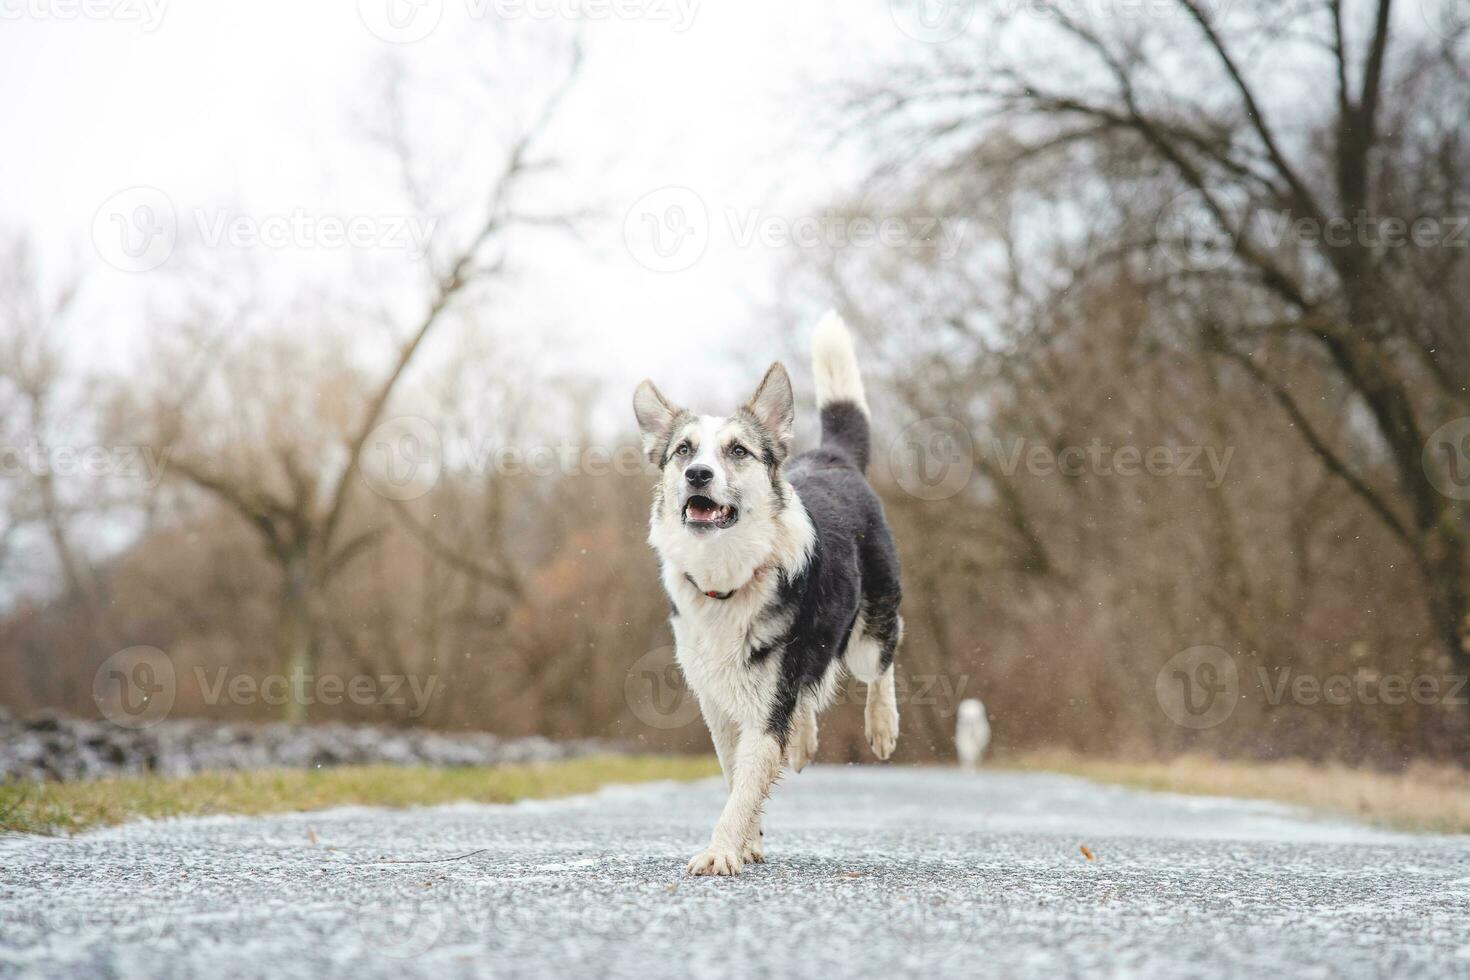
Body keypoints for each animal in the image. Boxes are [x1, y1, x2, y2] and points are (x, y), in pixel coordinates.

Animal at [635, 310, 905, 875]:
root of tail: (831, 456)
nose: (697, 474)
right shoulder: (717, 705)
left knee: (884, 653)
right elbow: (735, 775)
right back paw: (802, 742)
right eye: (683, 450)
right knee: (809, 695)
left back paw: (881, 724)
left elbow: (743, 785)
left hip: (868, 634)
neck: (727, 578)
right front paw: (748, 841)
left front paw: (721, 851)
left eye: (738, 451)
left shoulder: (765, 707)